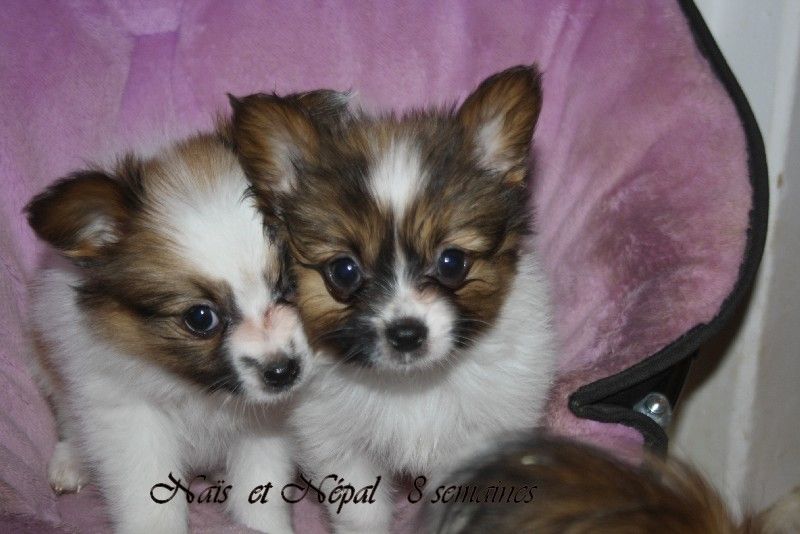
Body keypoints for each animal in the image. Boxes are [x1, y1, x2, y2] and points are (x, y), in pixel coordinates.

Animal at [230, 65, 556, 532]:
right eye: (344, 271)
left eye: (452, 261)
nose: (406, 334)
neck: (411, 385)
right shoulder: (342, 447)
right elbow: (362, 515)